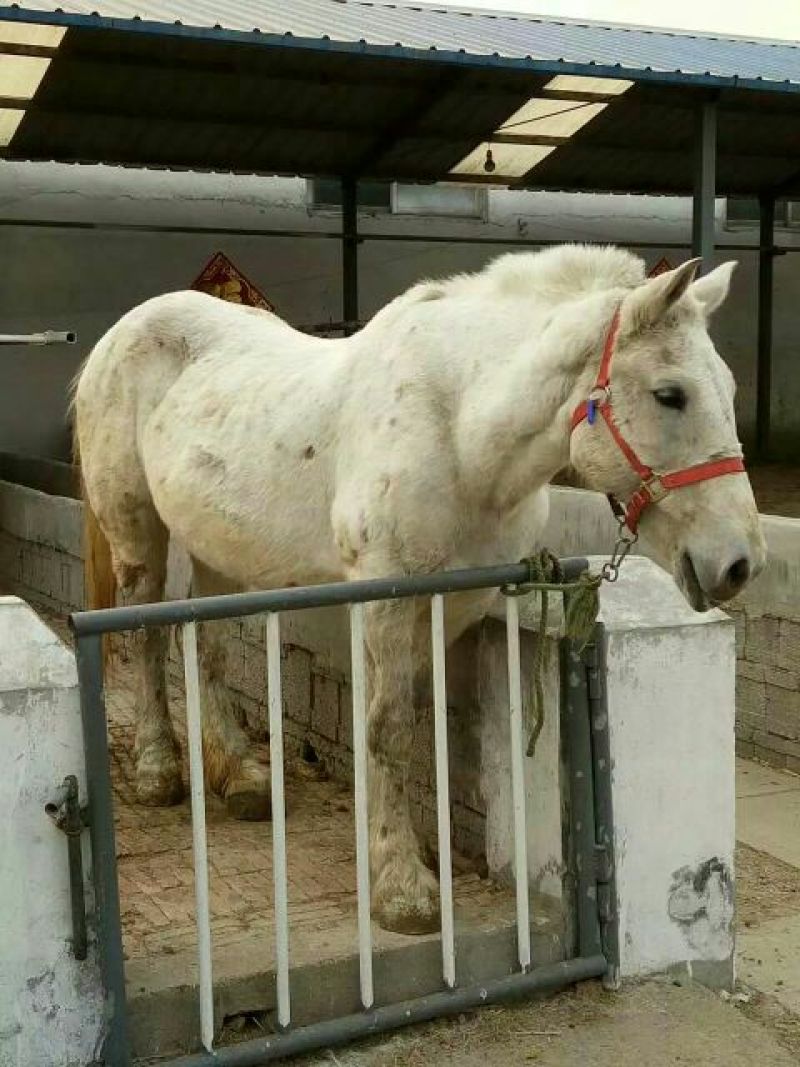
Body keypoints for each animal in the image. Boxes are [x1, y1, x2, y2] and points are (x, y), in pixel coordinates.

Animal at [73, 244, 765, 934]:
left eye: (728, 390)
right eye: (670, 395)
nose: (741, 563)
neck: (457, 430)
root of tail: (122, 332)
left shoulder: (452, 605)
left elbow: (424, 725)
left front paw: (413, 852)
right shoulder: (386, 599)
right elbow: (389, 728)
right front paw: (402, 887)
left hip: (213, 544)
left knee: (208, 646)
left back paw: (241, 777)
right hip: (137, 533)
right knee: (146, 641)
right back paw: (159, 771)